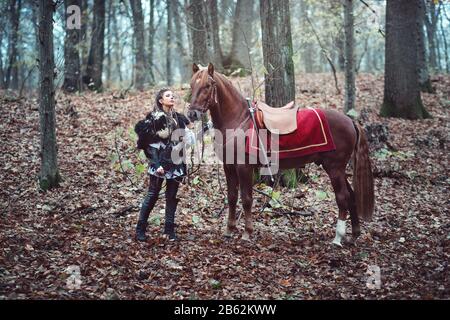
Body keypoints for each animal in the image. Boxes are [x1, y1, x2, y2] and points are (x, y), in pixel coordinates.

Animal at [188, 63, 374, 246]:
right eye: (191, 85)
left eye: (207, 85)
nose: (192, 114)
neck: (238, 121)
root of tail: (350, 121)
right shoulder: (229, 167)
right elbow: (232, 197)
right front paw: (229, 230)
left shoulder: (244, 168)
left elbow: (246, 199)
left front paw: (247, 233)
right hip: (338, 169)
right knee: (351, 196)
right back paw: (354, 235)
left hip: (334, 168)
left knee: (342, 197)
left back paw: (338, 237)